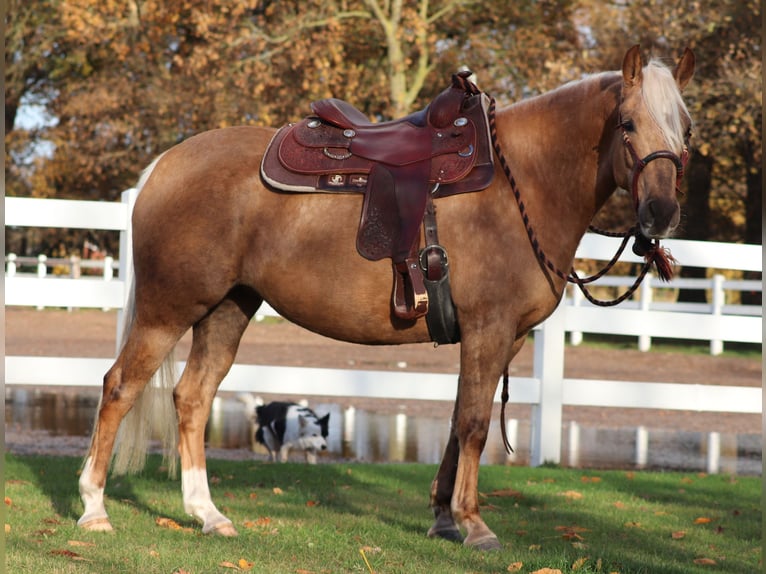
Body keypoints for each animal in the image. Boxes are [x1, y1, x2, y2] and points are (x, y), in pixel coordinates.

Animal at [78, 47, 696, 552]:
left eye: (685, 128)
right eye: (628, 123)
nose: (662, 213)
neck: (522, 182)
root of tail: (165, 165)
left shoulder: (503, 339)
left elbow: (455, 421)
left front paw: (443, 519)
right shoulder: (489, 330)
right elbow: (475, 424)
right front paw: (473, 525)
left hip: (228, 309)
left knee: (192, 398)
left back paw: (208, 515)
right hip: (168, 309)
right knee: (120, 387)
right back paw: (94, 510)